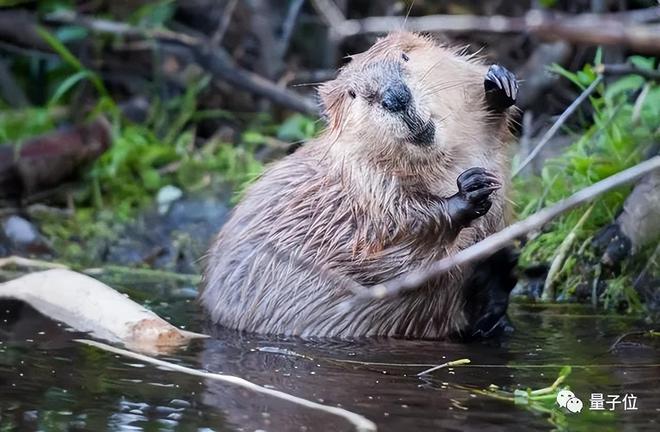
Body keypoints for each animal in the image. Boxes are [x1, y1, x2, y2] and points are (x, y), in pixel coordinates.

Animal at [201, 32, 520, 340]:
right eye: (353, 94)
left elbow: (490, 129)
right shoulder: (363, 187)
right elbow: (395, 242)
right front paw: (470, 189)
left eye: (405, 56)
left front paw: (499, 84)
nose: (395, 97)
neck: (444, 162)